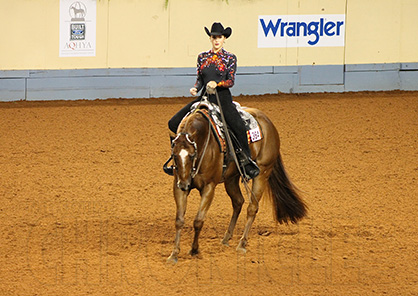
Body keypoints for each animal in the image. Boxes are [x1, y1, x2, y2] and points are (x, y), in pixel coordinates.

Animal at [167, 100, 306, 264]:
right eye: (174, 156)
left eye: (191, 155)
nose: (184, 184)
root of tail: (268, 122)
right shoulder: (178, 186)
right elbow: (179, 220)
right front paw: (174, 254)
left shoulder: (209, 187)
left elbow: (198, 221)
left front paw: (194, 250)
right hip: (231, 178)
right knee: (238, 201)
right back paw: (226, 238)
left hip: (262, 173)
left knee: (252, 207)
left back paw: (241, 244)